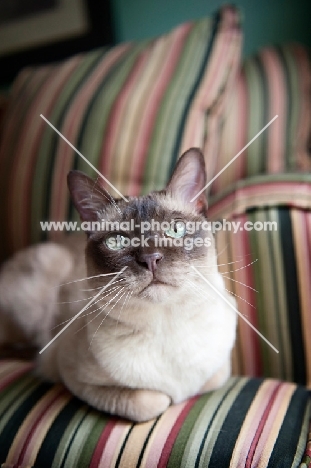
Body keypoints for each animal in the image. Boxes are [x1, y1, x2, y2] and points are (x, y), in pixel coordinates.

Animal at [0, 148, 236, 422]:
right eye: (117, 242)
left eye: (176, 229)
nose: (151, 259)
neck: (165, 323)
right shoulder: (71, 376)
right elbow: (154, 401)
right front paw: (168, 397)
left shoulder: (220, 371)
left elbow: (206, 381)